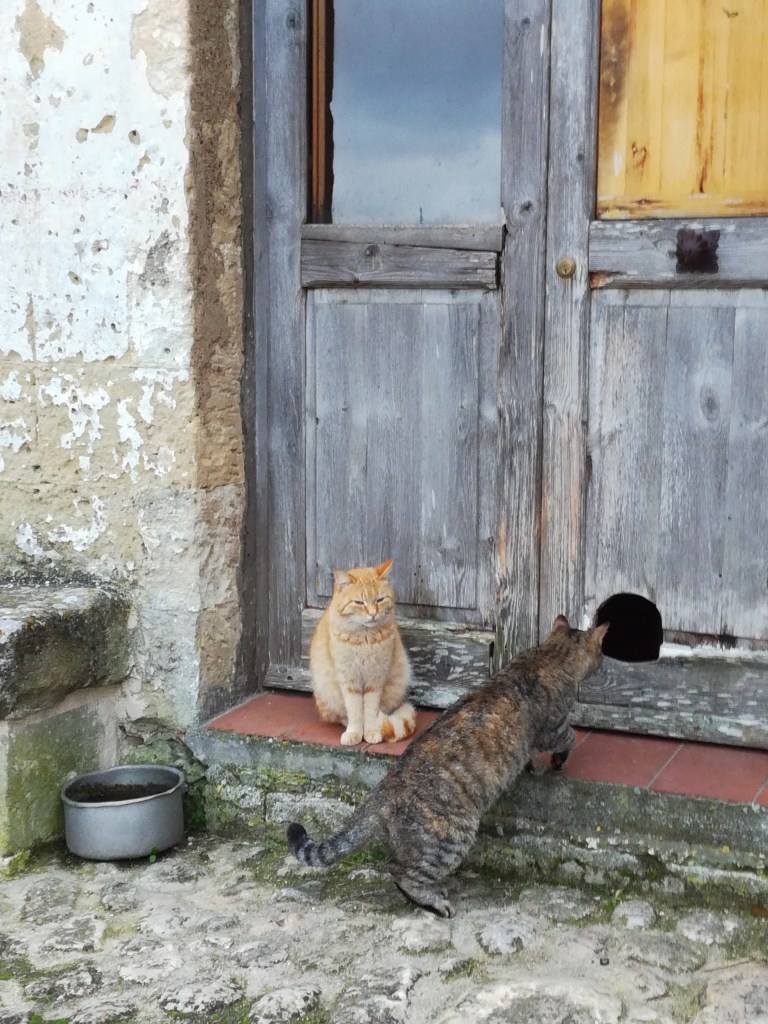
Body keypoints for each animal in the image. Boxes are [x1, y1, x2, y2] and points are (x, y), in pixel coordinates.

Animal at [289, 615, 609, 917]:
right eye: (602, 650)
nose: (605, 662)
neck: (549, 654)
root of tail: (388, 786)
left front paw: (534, 766)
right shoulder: (553, 729)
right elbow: (569, 736)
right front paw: (556, 761)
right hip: (451, 838)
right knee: (401, 872)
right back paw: (433, 901)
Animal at [309, 558, 416, 746]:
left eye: (380, 599)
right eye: (359, 603)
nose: (373, 614)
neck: (365, 639)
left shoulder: (375, 680)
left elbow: (370, 710)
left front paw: (371, 731)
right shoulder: (349, 681)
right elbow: (354, 711)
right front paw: (354, 733)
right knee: (339, 716)